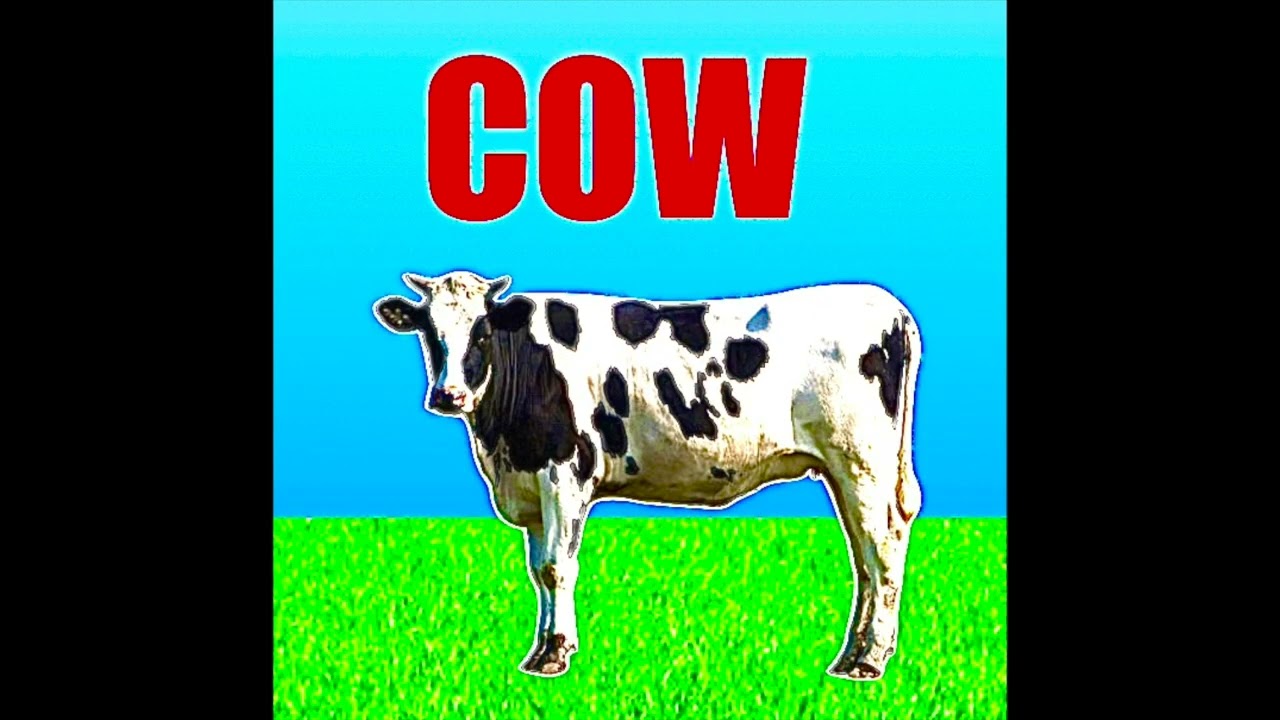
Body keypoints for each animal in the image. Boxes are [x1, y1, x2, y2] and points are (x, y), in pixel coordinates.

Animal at [372, 270, 924, 681]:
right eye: (429, 332)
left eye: (482, 332)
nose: (448, 396)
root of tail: (888, 306)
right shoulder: (530, 487)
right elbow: (538, 569)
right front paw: (541, 650)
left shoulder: (565, 474)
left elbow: (556, 567)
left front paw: (555, 654)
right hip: (845, 471)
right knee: (864, 556)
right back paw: (852, 654)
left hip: (862, 462)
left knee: (882, 548)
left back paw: (870, 660)